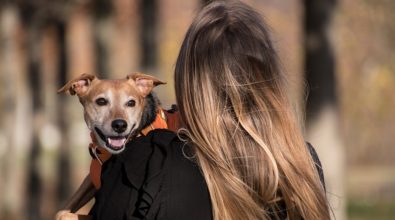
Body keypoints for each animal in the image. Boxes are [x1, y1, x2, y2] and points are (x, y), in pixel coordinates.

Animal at [55, 72, 167, 220]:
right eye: (101, 101)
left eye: (131, 103)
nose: (120, 125)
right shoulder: (91, 179)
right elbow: (61, 212)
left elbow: (65, 215)